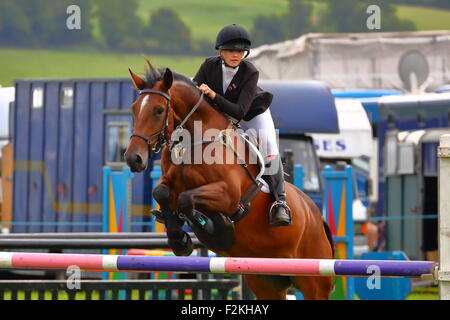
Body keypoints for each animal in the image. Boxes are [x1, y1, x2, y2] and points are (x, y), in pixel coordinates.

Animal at [123, 60, 334, 300]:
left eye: (159, 110)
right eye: (134, 108)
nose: (133, 158)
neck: (194, 142)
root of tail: (316, 216)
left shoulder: (228, 195)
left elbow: (188, 199)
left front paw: (213, 227)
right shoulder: (171, 185)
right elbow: (162, 193)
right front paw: (179, 239)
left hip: (313, 282)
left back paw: (279, 212)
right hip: (266, 280)